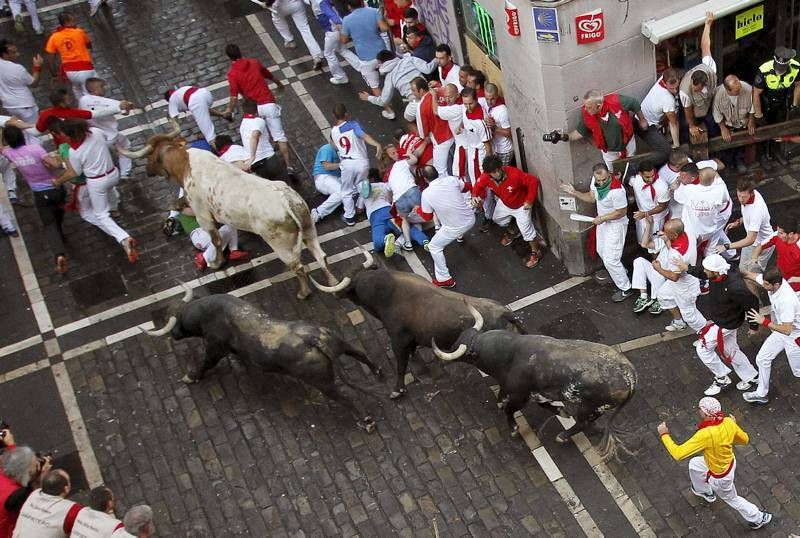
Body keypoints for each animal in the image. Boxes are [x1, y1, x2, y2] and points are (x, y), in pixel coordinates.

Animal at [147, 292, 384, 430]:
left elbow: (206, 363)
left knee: (346, 396)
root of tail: (313, 338)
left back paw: (366, 421)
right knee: (360, 354)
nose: (174, 335)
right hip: (339, 343)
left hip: (323, 382)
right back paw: (378, 372)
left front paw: (190, 377)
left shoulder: (215, 347)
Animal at [434, 304, 636, 446]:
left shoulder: (519, 395)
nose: (444, 359)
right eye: (458, 338)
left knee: (582, 423)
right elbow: (540, 403)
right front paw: (561, 411)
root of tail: (629, 375)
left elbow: (509, 408)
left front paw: (513, 429)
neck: (508, 353)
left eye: (461, 348)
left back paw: (562, 436)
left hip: (590, 408)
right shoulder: (536, 391)